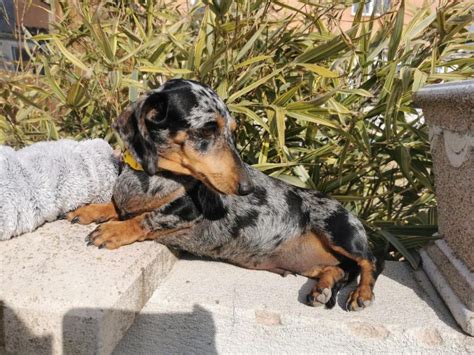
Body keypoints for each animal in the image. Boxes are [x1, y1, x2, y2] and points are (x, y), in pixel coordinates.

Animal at [67, 78, 386, 312]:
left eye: (232, 130)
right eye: (208, 129)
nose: (247, 188)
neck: (155, 176)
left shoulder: (188, 209)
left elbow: (148, 217)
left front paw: (114, 231)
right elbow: (116, 204)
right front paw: (92, 210)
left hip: (340, 231)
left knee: (371, 261)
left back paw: (362, 294)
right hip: (318, 261)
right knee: (337, 270)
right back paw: (322, 289)